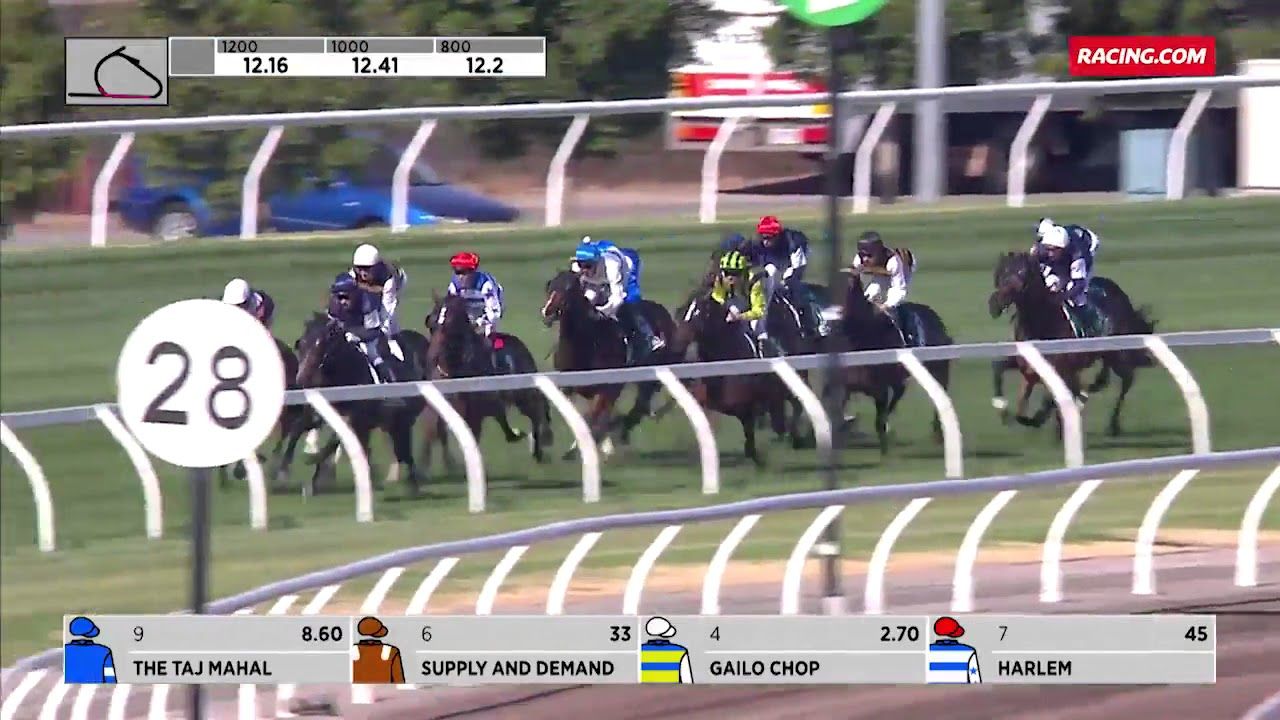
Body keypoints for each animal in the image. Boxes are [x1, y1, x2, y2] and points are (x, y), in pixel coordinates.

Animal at [293, 313, 428, 497]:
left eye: (321, 344)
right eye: (302, 344)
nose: (303, 379)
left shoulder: (356, 418)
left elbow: (334, 442)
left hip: (404, 417)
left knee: (402, 447)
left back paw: (410, 481)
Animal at [421, 293, 553, 472]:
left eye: (449, 323)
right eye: (432, 322)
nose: (432, 355)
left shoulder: (476, 413)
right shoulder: (441, 407)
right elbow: (435, 431)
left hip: (522, 396)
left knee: (535, 412)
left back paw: (538, 446)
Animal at [539, 270, 676, 458]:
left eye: (569, 287)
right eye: (550, 285)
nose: (547, 312)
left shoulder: (608, 387)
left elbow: (594, 415)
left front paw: (583, 447)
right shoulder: (569, 387)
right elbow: (582, 415)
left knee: (639, 405)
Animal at [989, 256, 1155, 435]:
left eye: (1022, 273)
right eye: (1001, 273)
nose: (996, 303)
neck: (1040, 325)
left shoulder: (1060, 369)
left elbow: (1051, 398)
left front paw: (1040, 419)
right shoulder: (1026, 363)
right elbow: (998, 368)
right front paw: (1002, 409)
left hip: (1117, 354)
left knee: (1126, 380)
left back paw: (1112, 424)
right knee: (1101, 380)